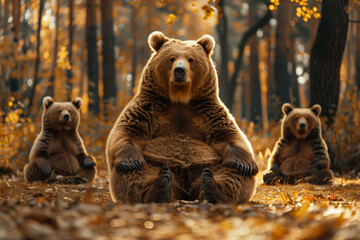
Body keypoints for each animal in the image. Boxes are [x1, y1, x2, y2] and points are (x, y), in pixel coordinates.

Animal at [105, 31, 258, 204]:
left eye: (191, 59)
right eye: (171, 58)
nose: (179, 70)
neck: (179, 98)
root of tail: (186, 190)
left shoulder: (206, 110)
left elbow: (228, 135)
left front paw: (245, 164)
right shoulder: (149, 106)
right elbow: (128, 131)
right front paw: (131, 161)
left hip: (210, 164)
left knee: (233, 175)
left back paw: (211, 187)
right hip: (155, 162)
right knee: (134, 176)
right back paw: (161, 186)